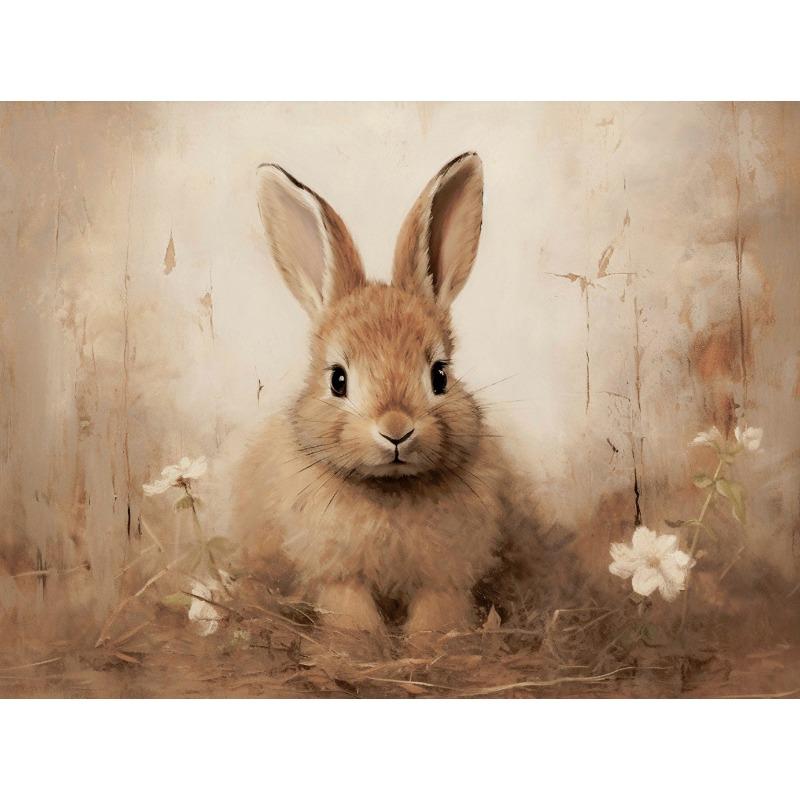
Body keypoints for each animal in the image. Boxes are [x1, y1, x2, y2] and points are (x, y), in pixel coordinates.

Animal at [228, 152, 538, 645]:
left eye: (439, 375)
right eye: (338, 380)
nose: (396, 430)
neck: (390, 488)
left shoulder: (444, 576)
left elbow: (437, 614)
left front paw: (432, 649)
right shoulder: (338, 575)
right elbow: (350, 613)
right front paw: (357, 651)